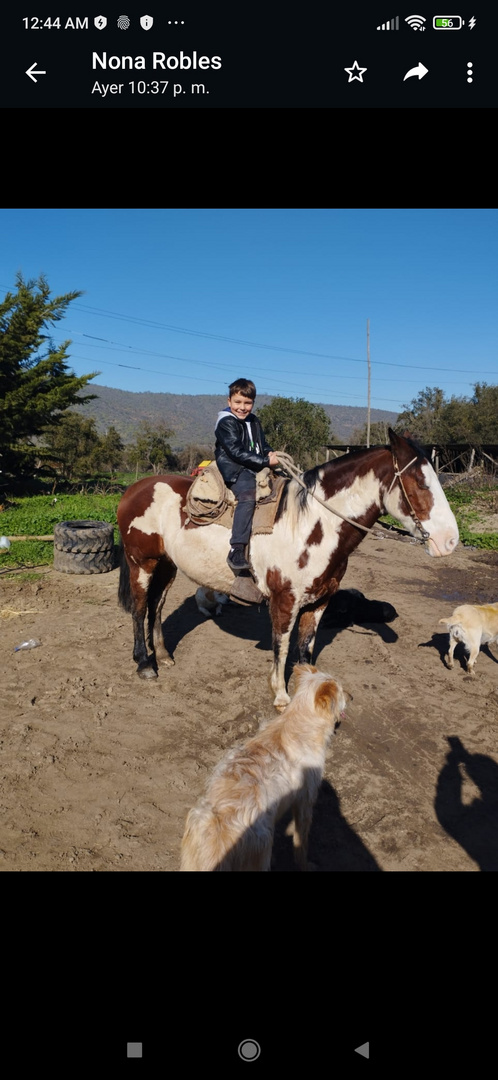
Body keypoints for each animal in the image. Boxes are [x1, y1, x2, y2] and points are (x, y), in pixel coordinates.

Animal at [116, 429, 458, 708]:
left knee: (156, 607)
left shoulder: (319, 601)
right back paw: (144, 664)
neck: (310, 523)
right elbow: (281, 646)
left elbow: (306, 646)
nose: (450, 540)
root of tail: (134, 489)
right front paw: (280, 695)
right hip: (140, 563)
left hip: (166, 565)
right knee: (139, 608)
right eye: (420, 482)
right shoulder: (285, 600)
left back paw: (162, 655)